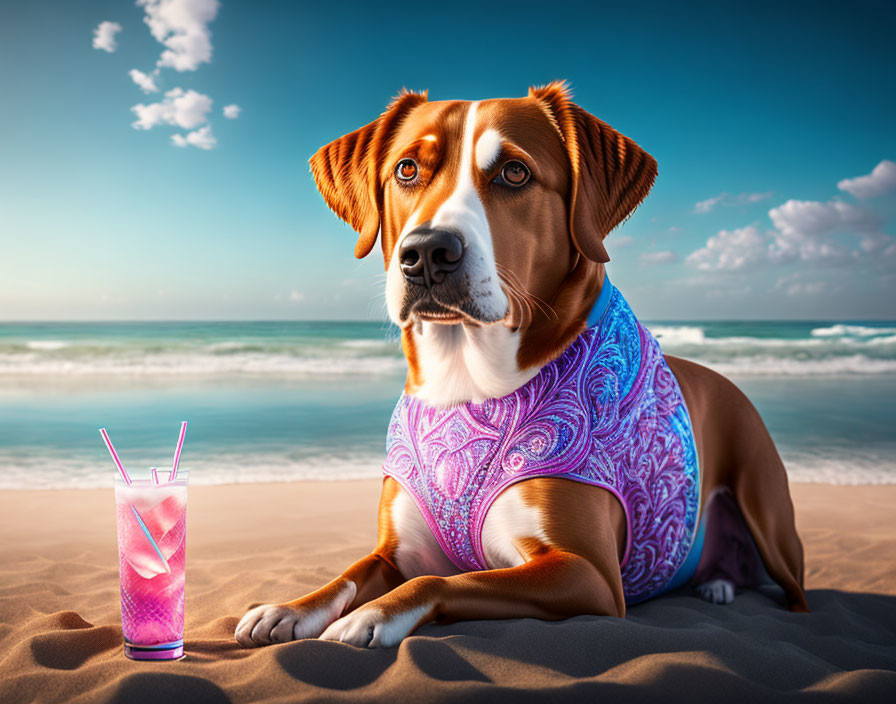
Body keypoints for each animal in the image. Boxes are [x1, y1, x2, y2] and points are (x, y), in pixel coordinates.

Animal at [234, 81, 808, 648]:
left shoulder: (587, 573)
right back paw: (716, 583)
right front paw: (290, 607)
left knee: (794, 587)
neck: (466, 387)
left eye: (514, 172)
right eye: (407, 169)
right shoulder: (394, 552)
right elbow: (349, 574)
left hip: (768, 513)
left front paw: (374, 614)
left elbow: (443, 579)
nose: (426, 252)